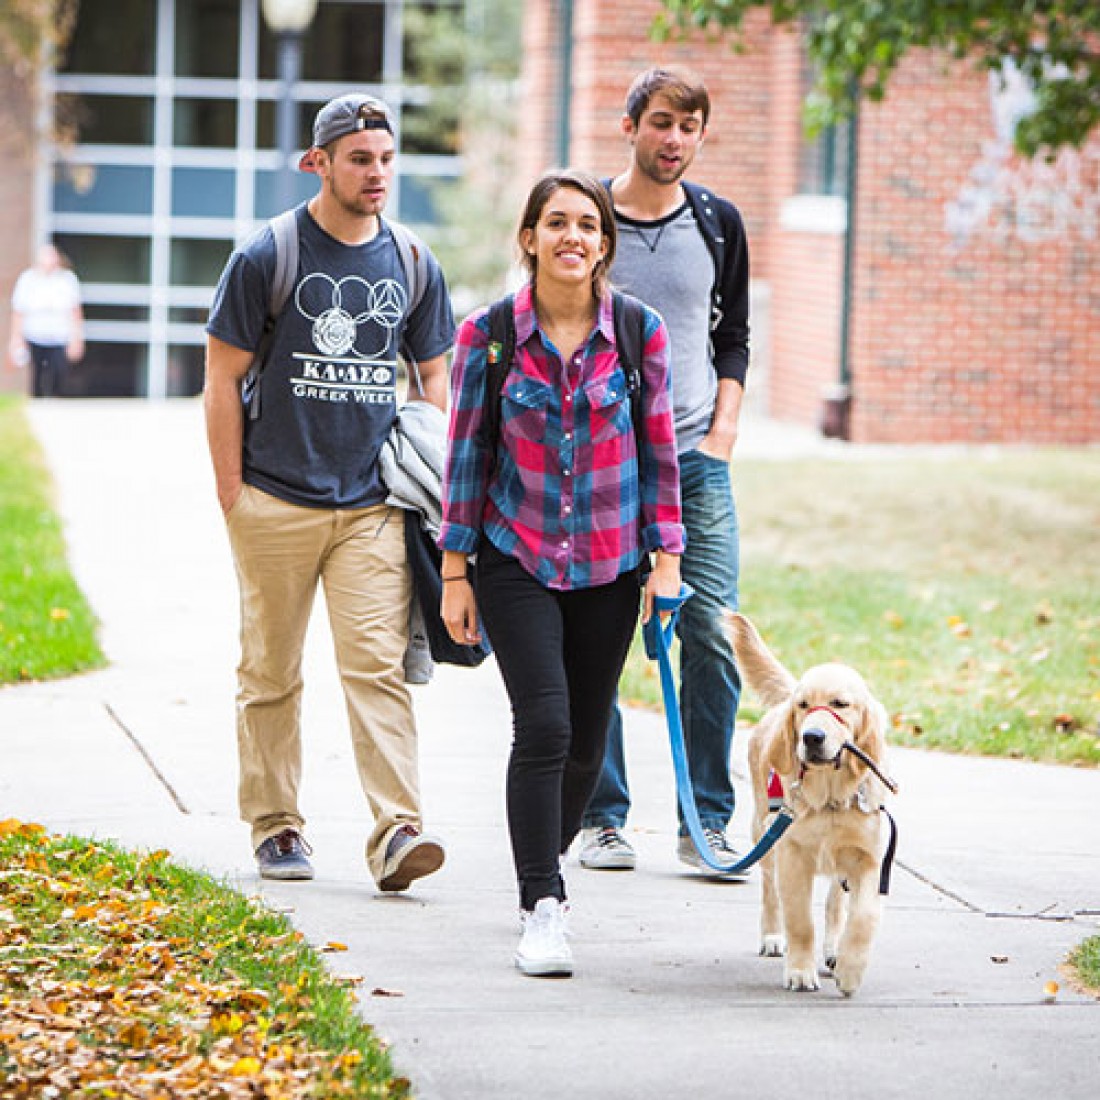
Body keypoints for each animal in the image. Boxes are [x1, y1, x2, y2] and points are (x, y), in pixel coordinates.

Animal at [726, 611, 897, 998]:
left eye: (840, 704)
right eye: (803, 706)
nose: (812, 737)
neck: (830, 798)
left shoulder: (868, 858)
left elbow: (862, 918)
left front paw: (850, 969)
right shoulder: (793, 855)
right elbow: (800, 921)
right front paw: (800, 972)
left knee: (836, 903)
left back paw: (834, 950)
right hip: (764, 832)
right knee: (770, 893)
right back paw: (773, 937)